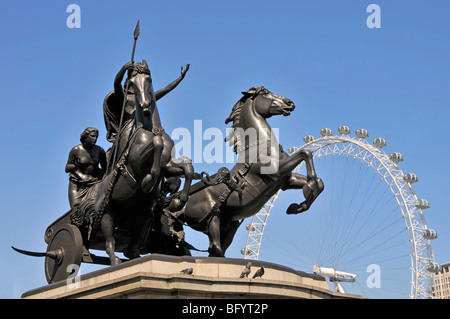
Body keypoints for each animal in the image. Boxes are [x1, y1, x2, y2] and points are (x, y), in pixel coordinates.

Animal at [172, 87, 324, 258]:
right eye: (265, 92)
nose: (290, 103)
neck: (259, 145)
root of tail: (185, 208)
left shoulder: (285, 180)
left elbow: (319, 182)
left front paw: (297, 206)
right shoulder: (277, 172)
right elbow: (306, 153)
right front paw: (308, 189)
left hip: (230, 225)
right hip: (212, 218)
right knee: (214, 247)